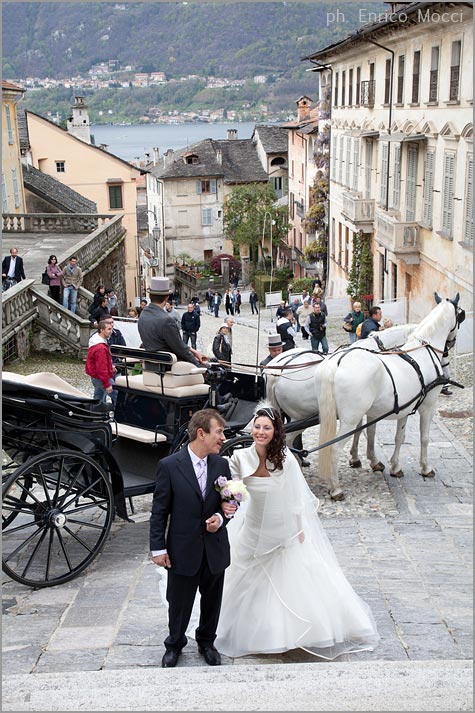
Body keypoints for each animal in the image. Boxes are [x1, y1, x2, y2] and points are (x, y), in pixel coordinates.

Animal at [318, 292, 462, 498]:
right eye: (461, 315)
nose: (452, 343)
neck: (422, 349)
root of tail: (336, 363)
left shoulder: (405, 408)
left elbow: (399, 437)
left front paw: (394, 467)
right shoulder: (428, 406)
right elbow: (424, 437)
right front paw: (425, 468)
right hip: (350, 419)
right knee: (335, 448)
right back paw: (335, 488)